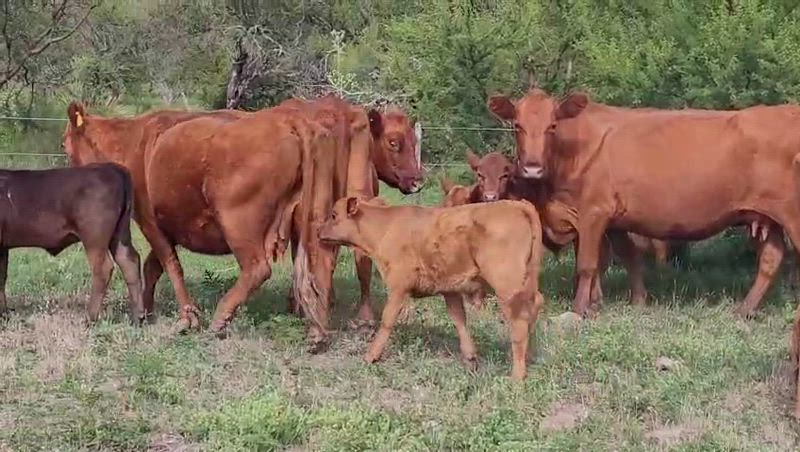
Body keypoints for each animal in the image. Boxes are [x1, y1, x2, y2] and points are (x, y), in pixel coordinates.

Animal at [0, 163, 143, 323]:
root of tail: (111, 168)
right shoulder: (3, 247)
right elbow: (2, 278)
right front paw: (4, 315)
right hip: (120, 234)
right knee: (129, 261)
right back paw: (138, 317)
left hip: (94, 238)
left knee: (103, 268)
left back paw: (90, 317)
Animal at [318, 196, 545, 380]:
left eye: (333, 214)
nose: (318, 231)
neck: (385, 227)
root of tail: (518, 204)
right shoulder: (450, 289)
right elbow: (459, 318)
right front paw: (470, 357)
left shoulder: (399, 286)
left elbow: (387, 320)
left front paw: (371, 356)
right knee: (534, 307)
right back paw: (529, 356)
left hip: (508, 286)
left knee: (519, 321)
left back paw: (517, 375)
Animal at [486, 88, 799, 321]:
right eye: (517, 125)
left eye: (552, 126)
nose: (532, 168)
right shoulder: (613, 220)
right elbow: (626, 257)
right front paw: (629, 301)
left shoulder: (593, 212)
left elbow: (587, 264)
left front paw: (580, 309)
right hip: (766, 217)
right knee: (771, 259)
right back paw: (744, 310)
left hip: (792, 215)